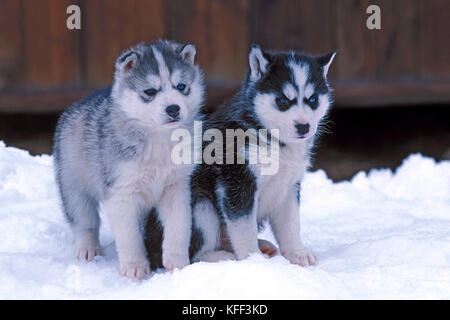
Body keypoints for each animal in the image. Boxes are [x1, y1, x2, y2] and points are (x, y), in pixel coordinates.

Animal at [53, 40, 206, 278]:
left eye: (181, 86)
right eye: (150, 91)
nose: (173, 108)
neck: (158, 139)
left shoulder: (176, 186)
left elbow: (179, 225)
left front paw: (177, 261)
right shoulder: (121, 192)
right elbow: (129, 235)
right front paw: (135, 267)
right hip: (73, 183)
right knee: (84, 220)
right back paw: (87, 248)